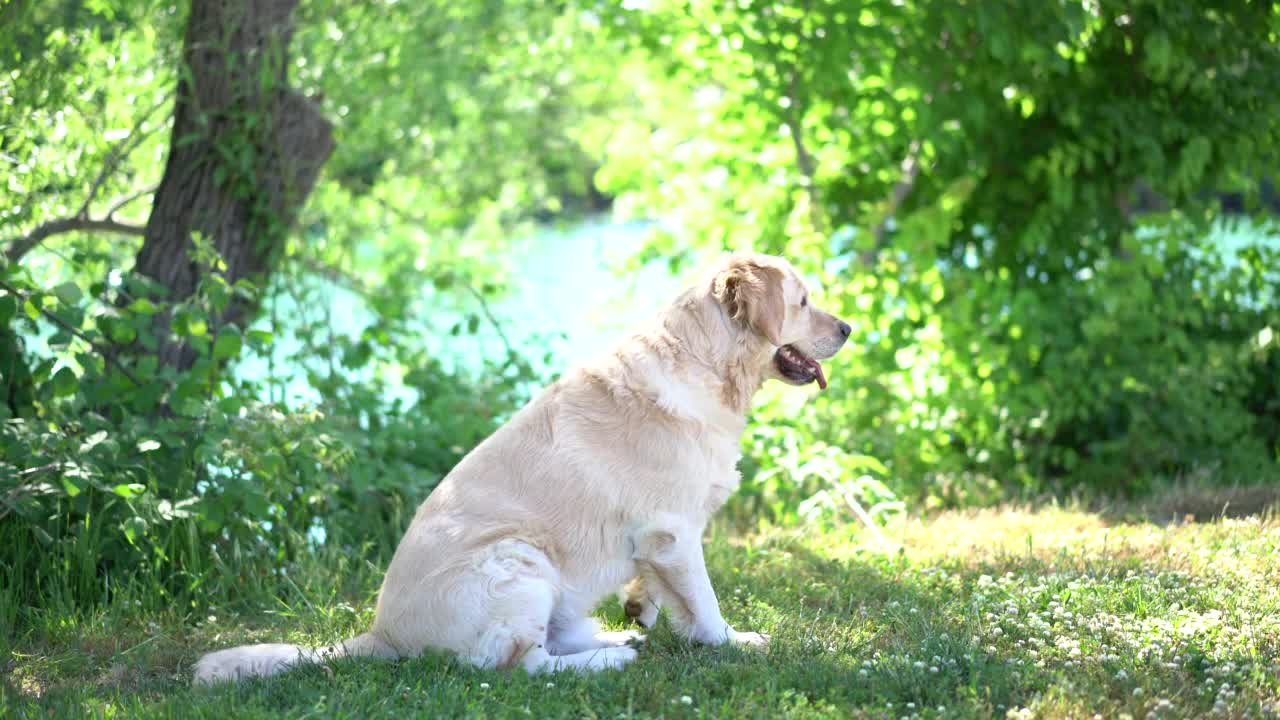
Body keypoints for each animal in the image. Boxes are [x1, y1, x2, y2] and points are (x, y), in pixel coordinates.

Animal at [192, 252, 849, 681]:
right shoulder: (674, 531)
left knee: (552, 639)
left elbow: (668, 594)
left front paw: (647, 610)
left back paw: (611, 635)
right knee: (518, 663)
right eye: (803, 302)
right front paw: (735, 642)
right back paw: (609, 658)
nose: (847, 328)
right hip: (519, 560)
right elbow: (706, 606)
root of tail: (381, 635)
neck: (704, 363)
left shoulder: (663, 541)